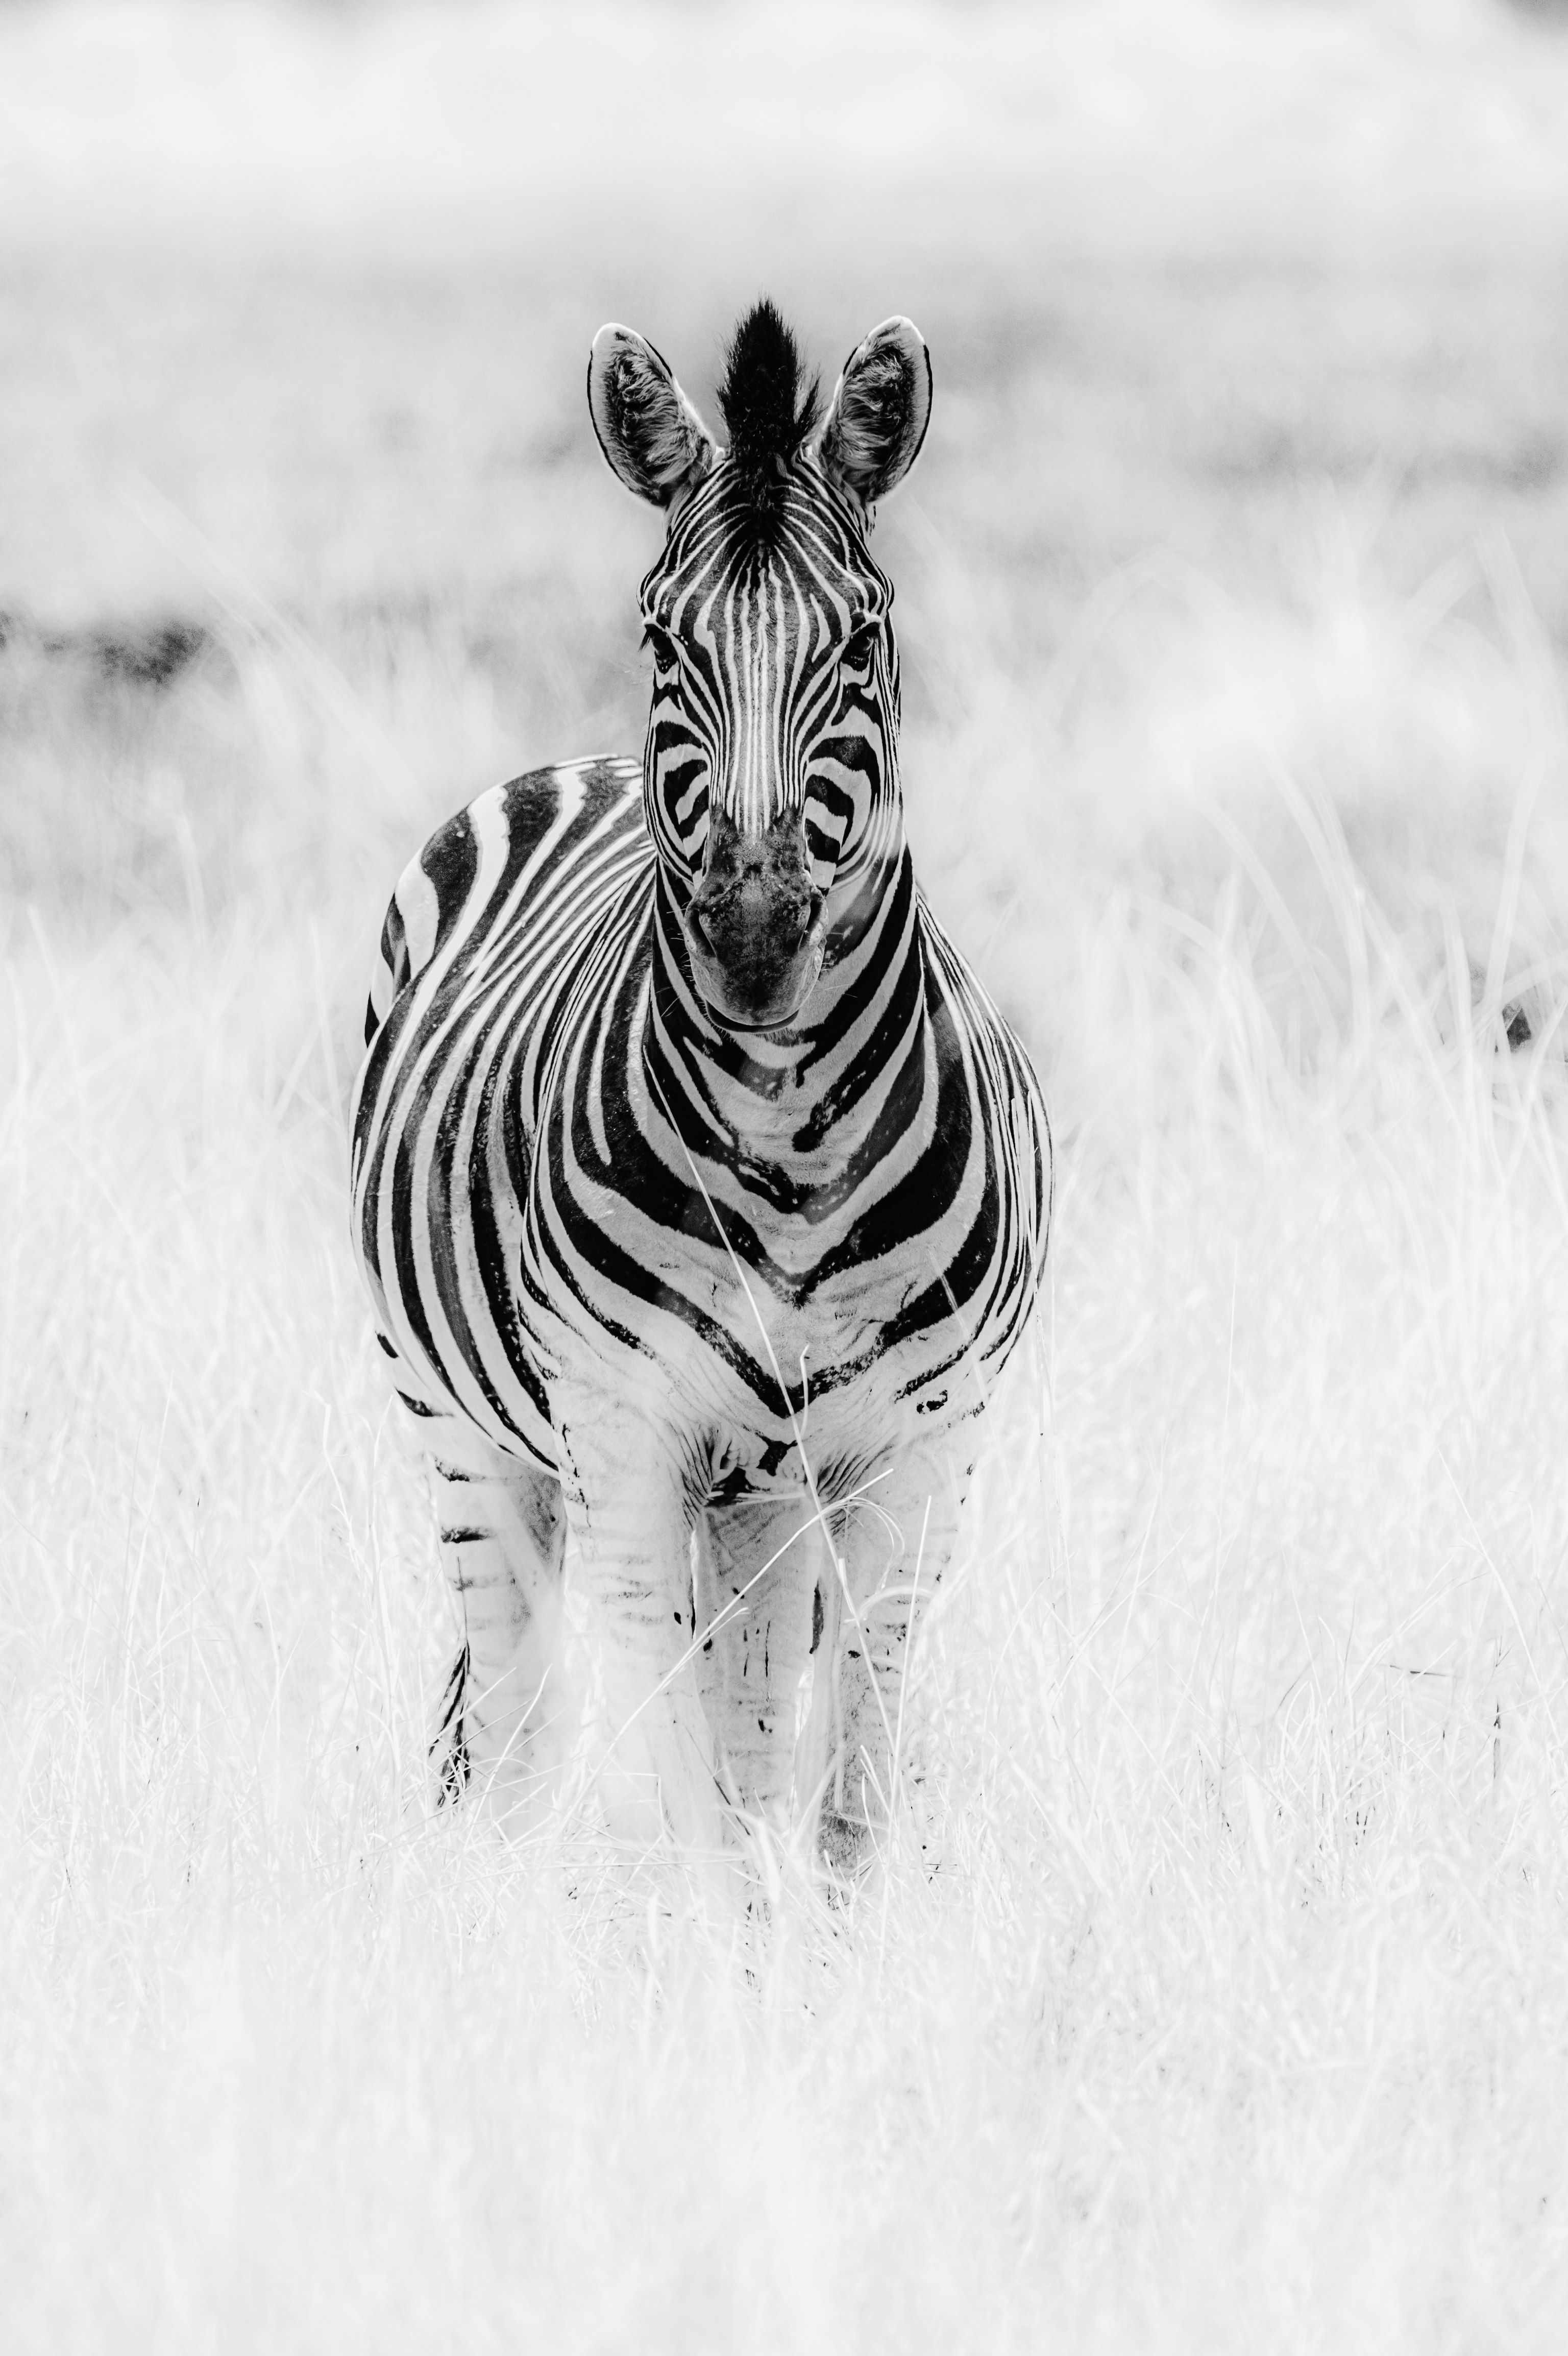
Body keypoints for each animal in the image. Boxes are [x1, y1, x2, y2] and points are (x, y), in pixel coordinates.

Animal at [348, 299, 1045, 1875]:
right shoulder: (625, 1433)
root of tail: (588, 764)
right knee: (514, 1715)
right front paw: (707, 1940)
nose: (753, 936)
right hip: (462, 1430)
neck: (786, 1135)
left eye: (862, 635)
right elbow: (689, 1801)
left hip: (762, 1493)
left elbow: (840, 1797)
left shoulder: (921, 1451)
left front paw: (828, 1940)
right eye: (664, 634)